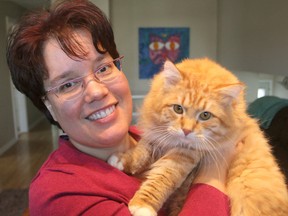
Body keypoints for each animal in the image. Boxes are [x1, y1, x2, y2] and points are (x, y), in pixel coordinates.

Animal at [108, 57, 288, 216]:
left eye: (205, 115)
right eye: (178, 109)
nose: (186, 131)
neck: (174, 142)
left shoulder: (185, 155)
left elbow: (160, 179)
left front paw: (143, 205)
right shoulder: (156, 136)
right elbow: (141, 152)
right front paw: (122, 160)